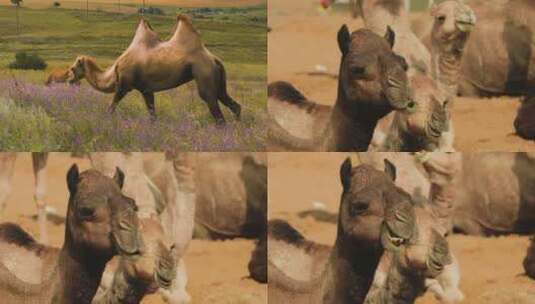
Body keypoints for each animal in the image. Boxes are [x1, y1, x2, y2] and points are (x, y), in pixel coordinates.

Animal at [68, 15, 241, 124]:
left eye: (73, 68)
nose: (69, 80)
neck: (114, 70)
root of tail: (214, 59)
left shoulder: (123, 86)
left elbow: (111, 106)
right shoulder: (146, 90)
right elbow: (152, 115)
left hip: (204, 72)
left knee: (215, 110)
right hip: (218, 79)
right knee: (232, 104)